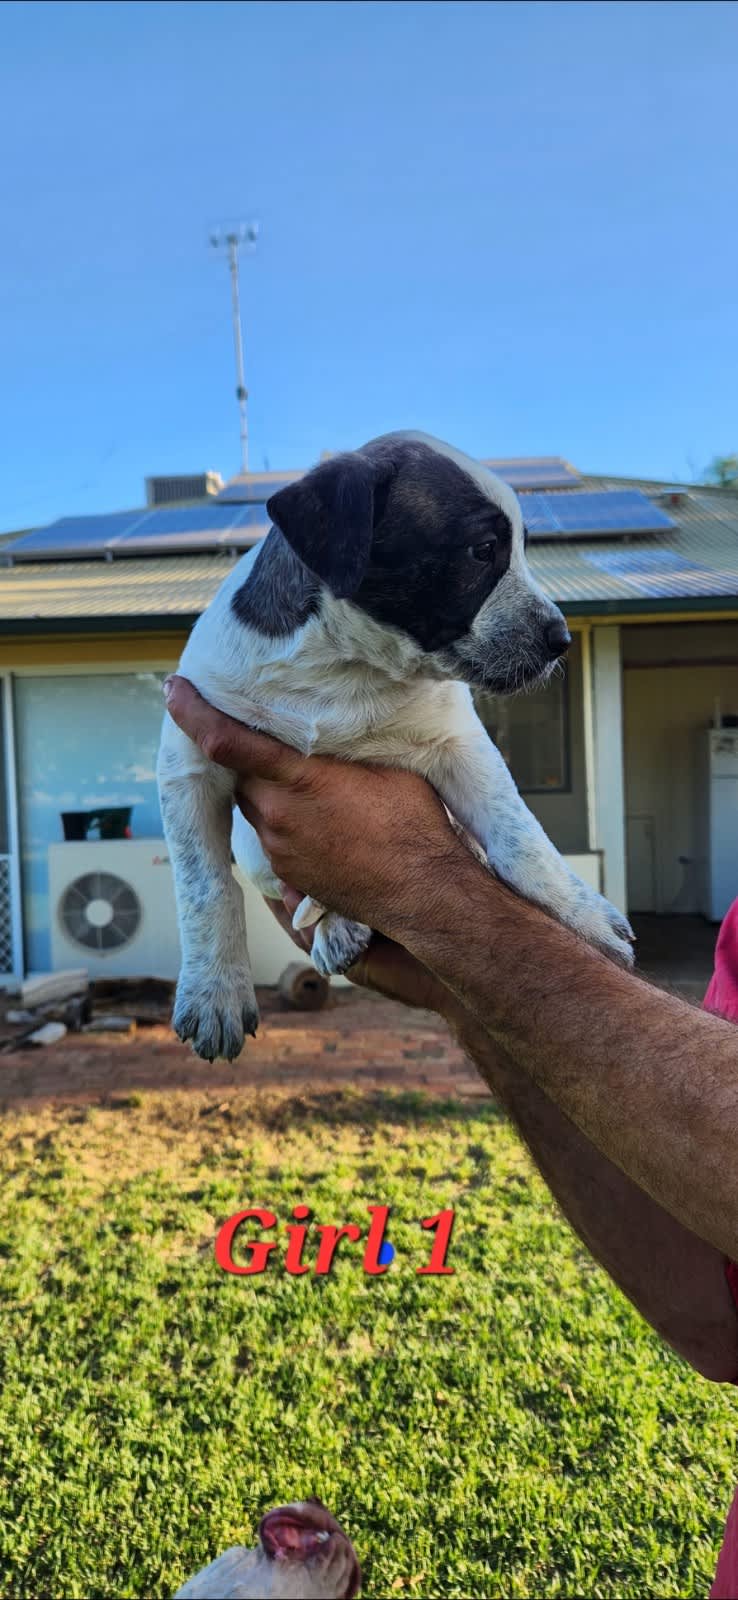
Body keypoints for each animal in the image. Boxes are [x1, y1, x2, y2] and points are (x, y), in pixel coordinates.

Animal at [156, 438, 633, 1062]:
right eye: (483, 550)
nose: (562, 641)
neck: (344, 666)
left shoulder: (459, 744)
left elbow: (522, 841)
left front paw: (584, 918)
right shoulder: (190, 764)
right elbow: (204, 888)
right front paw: (214, 993)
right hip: (255, 852)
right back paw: (335, 928)